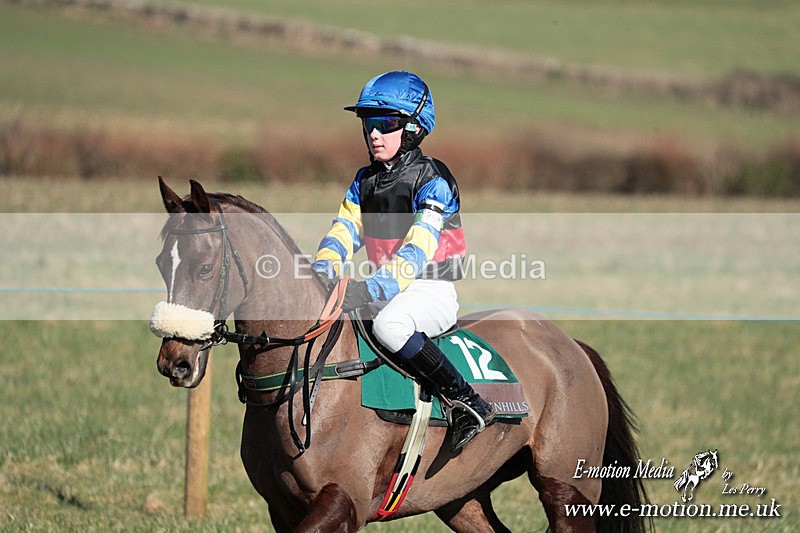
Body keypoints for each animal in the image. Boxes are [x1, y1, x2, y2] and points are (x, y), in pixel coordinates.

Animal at [153, 178, 649, 532]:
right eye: (161, 263)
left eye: (204, 267)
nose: (174, 362)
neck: (305, 380)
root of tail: (569, 344)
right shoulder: (283, 509)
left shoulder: (342, 501)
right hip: (461, 496)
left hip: (568, 489)